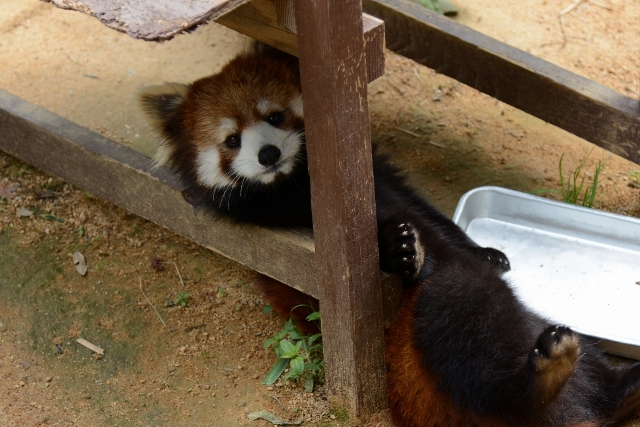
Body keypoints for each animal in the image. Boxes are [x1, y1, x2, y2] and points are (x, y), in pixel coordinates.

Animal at [140, 41, 640, 426]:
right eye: (231, 141)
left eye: (276, 116)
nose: (266, 154)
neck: (295, 179)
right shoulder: (278, 218)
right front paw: (400, 252)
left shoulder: (383, 175)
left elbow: (428, 214)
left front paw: (486, 251)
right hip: (425, 345)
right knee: (461, 310)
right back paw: (542, 379)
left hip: (545, 334)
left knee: (590, 368)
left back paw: (624, 387)